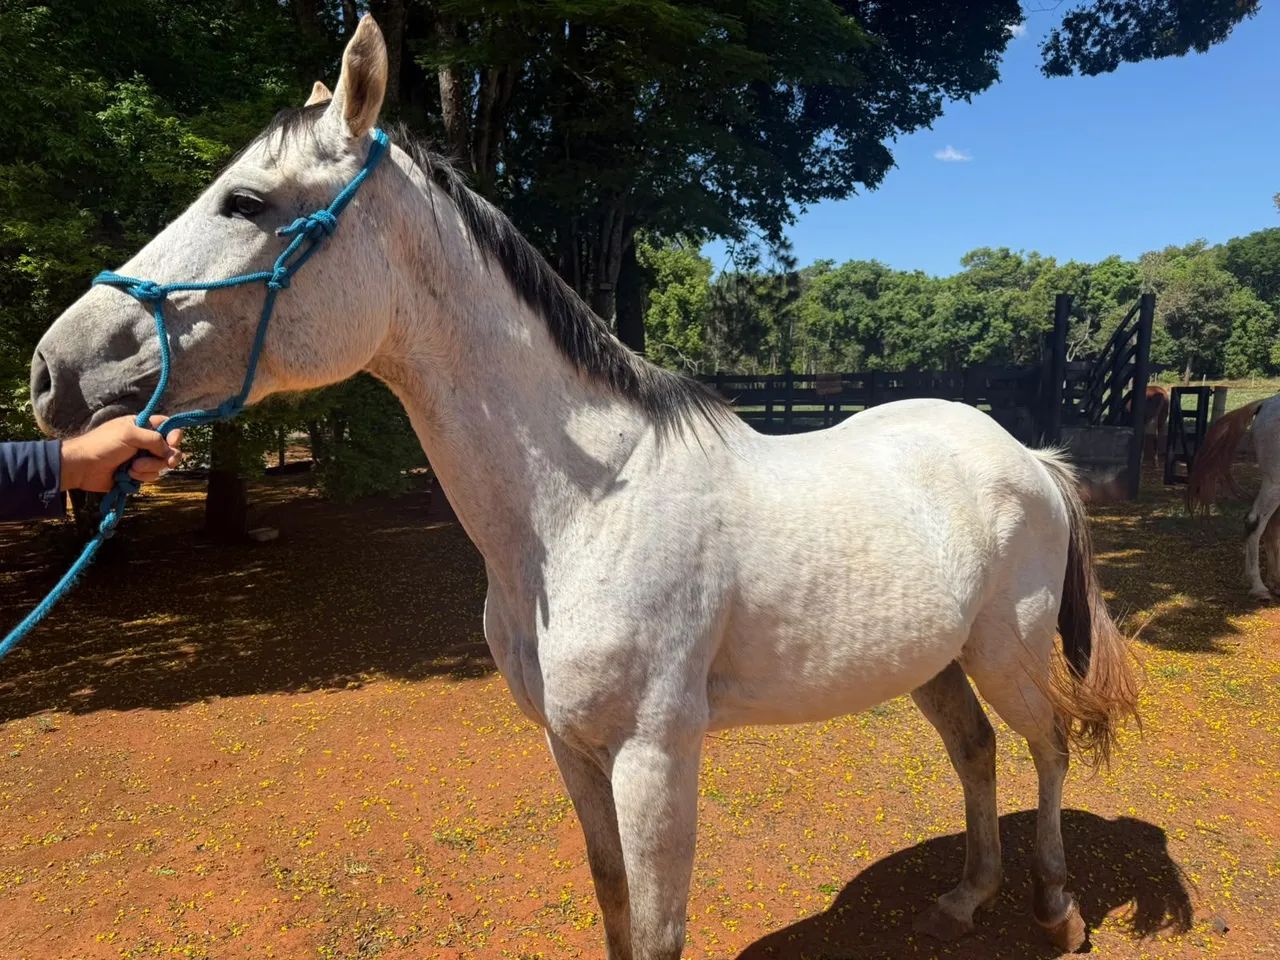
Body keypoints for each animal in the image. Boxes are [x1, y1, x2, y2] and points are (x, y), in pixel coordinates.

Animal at [28, 18, 1138, 958]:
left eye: (247, 203)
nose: (51, 370)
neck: (581, 516)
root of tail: (1027, 457)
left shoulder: (655, 758)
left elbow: (656, 928)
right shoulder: (571, 751)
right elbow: (610, 903)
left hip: (1005, 650)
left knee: (1046, 746)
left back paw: (1055, 910)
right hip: (931, 663)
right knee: (975, 754)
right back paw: (962, 899)